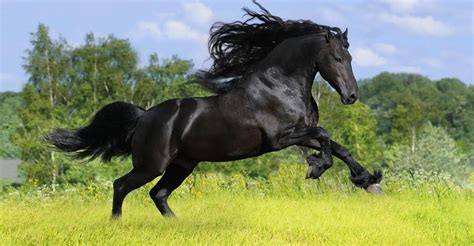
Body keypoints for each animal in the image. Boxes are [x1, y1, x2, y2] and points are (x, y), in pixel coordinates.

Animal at [47, 1, 382, 217]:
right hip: (151, 165)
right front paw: (316, 168)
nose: (352, 96)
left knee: (158, 194)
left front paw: (369, 181)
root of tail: (144, 116)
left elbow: (339, 147)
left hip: (182, 165)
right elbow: (325, 136)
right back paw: (117, 224)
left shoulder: (301, 133)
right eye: (337, 58)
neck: (279, 86)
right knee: (121, 186)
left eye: (350, 58)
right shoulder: (281, 138)